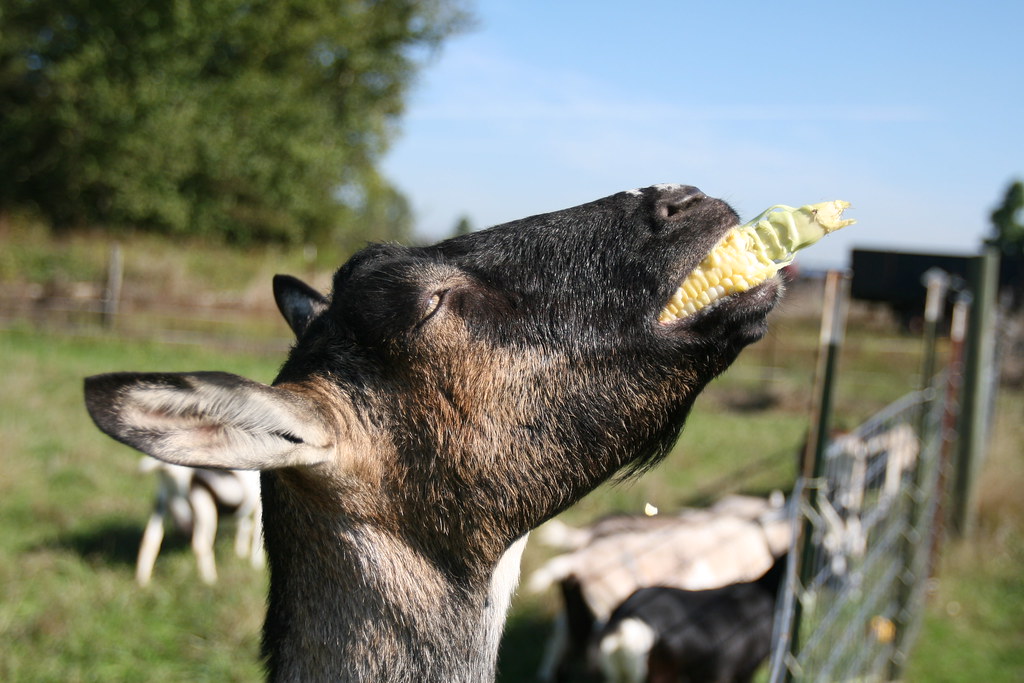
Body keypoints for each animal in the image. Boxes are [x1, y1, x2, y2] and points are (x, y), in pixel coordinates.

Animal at [135, 454, 264, 589]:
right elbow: (256, 533)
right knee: (201, 544)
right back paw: (210, 580)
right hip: (205, 513)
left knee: (151, 539)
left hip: (163, 505)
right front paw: (257, 565)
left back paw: (143, 582)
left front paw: (241, 553)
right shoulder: (258, 506)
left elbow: (245, 526)